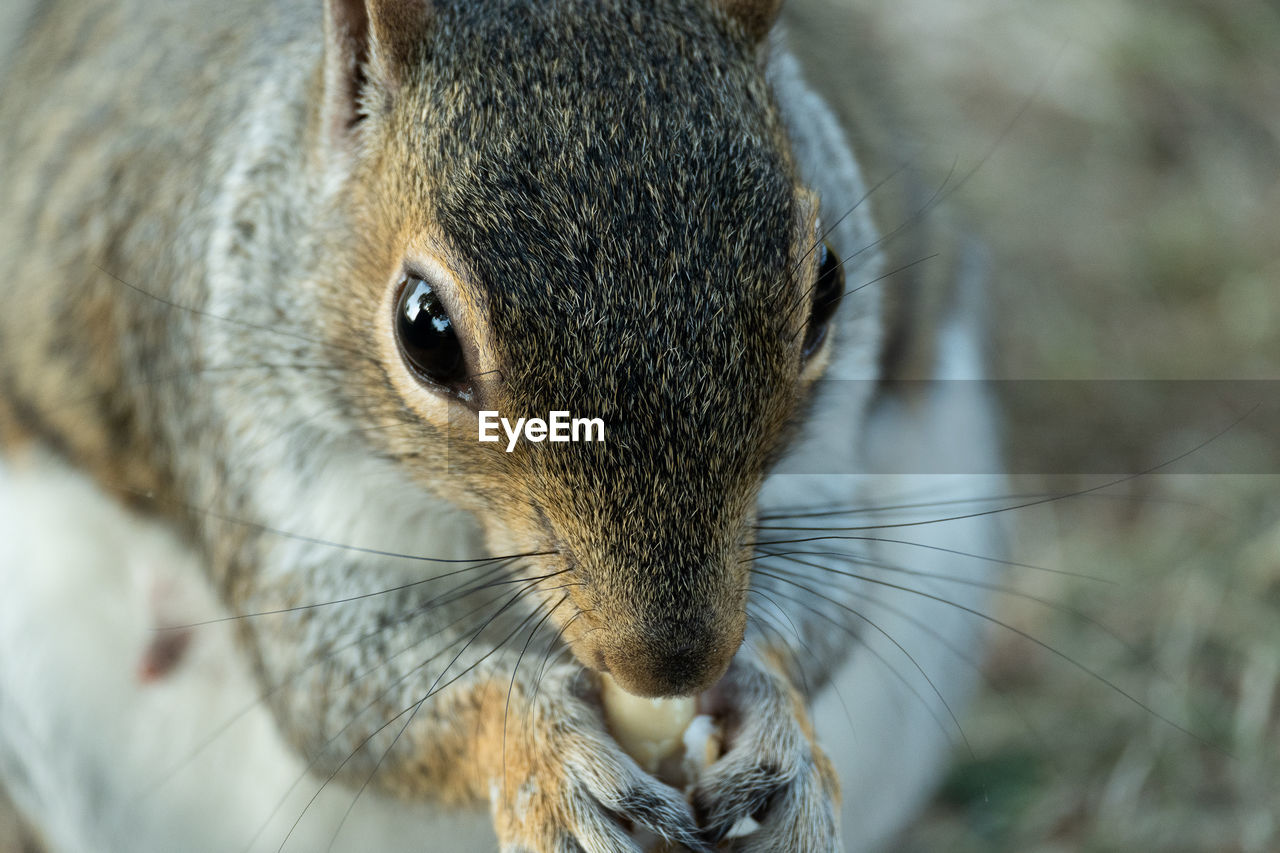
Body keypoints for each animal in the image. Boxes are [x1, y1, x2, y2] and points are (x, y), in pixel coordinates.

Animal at [0, 1, 998, 850]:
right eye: (425, 330)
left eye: (828, 287)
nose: (672, 660)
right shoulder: (250, 437)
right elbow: (330, 682)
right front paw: (543, 750)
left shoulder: (823, 463)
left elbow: (827, 587)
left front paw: (774, 724)